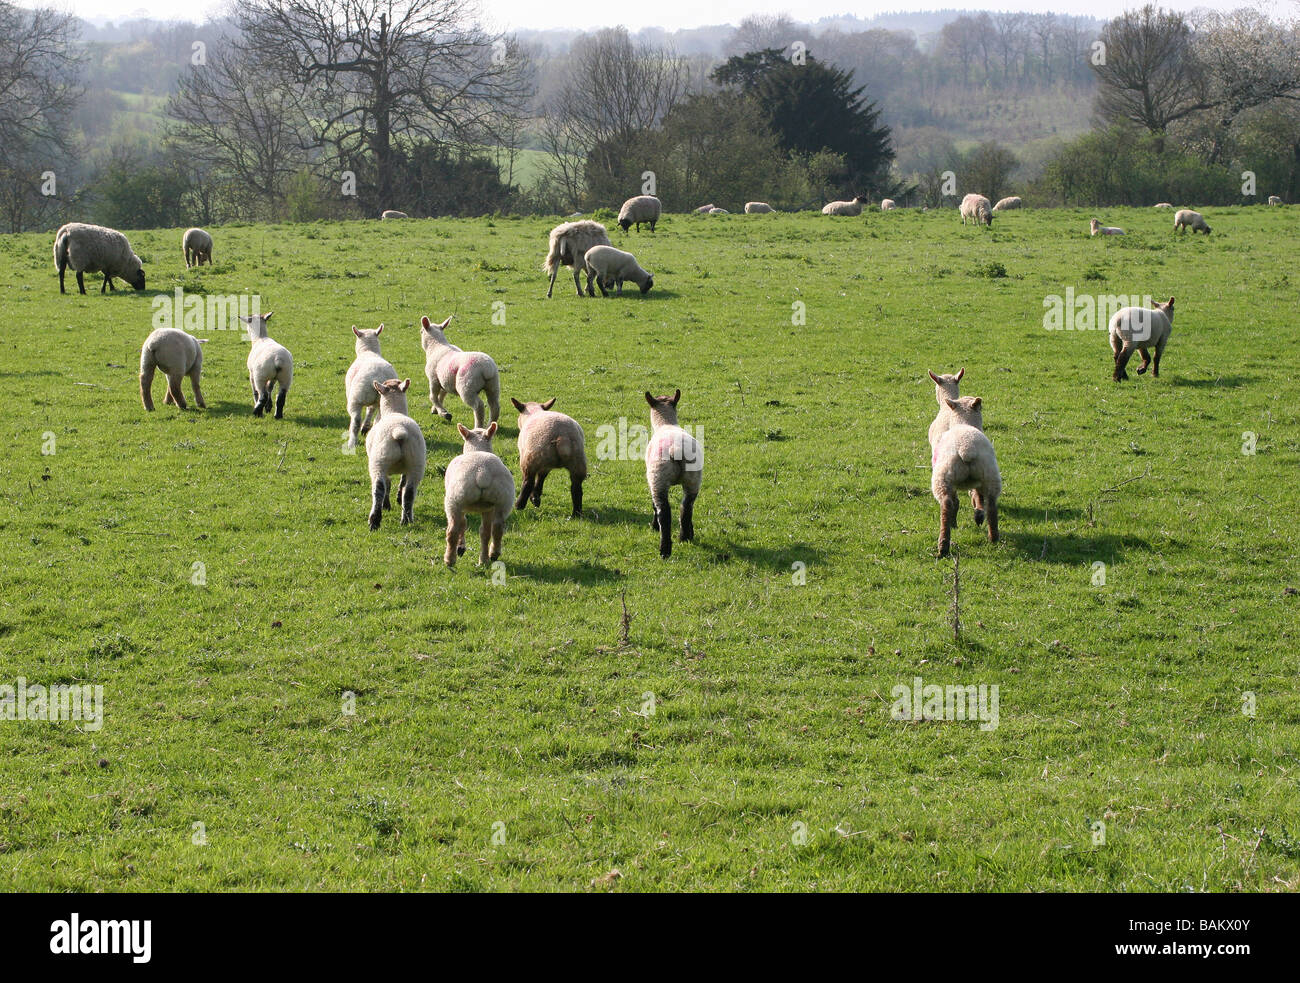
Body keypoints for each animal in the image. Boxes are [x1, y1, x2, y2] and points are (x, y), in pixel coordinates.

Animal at [366, 377, 426, 530]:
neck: (394, 410)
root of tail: (399, 430)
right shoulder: (407, 468)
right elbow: (402, 482)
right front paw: (397, 498)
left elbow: (387, 484)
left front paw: (386, 505)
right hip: (416, 462)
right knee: (409, 492)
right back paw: (406, 519)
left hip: (379, 461)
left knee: (379, 488)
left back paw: (374, 520)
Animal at [441, 421, 512, 569]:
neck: (476, 449)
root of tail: (482, 472)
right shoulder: (487, 508)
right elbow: (484, 532)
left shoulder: (461, 505)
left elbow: (463, 523)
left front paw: (461, 547)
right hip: (502, 501)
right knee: (495, 528)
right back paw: (489, 556)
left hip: (454, 500)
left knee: (452, 530)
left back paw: (450, 559)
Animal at [642, 392, 702, 561]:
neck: (666, 423)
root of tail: (677, 450)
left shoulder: (652, 480)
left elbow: (654, 505)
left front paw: (654, 527)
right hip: (693, 479)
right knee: (686, 507)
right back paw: (685, 536)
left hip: (658, 477)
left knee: (664, 512)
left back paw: (665, 550)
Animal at [930, 395, 998, 556]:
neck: (963, 423)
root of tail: (967, 448)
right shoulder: (979, 481)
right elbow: (978, 496)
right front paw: (978, 514)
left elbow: (958, 501)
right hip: (990, 475)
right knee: (991, 504)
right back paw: (993, 537)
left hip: (943, 478)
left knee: (947, 504)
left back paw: (943, 545)